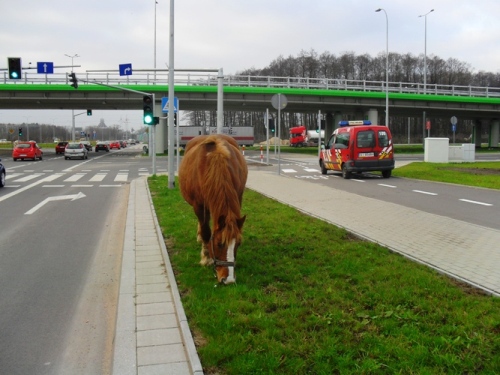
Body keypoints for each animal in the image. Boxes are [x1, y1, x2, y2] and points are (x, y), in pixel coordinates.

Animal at [180, 135, 248, 284]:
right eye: (219, 244)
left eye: (238, 244)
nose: (228, 280)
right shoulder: (199, 206)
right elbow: (206, 231)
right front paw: (206, 258)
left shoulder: (238, 198)